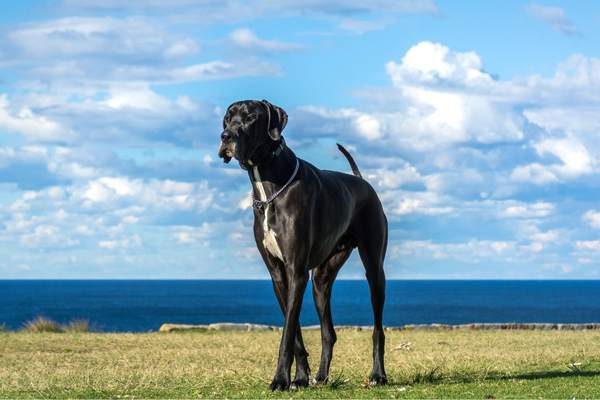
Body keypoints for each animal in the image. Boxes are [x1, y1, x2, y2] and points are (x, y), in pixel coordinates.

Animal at [218, 100, 386, 390]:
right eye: (227, 118)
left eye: (250, 118)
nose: (226, 136)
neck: (269, 186)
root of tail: (362, 181)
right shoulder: (279, 274)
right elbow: (293, 331)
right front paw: (299, 378)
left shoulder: (296, 271)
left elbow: (287, 333)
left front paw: (280, 380)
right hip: (321, 279)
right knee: (328, 332)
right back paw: (321, 376)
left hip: (374, 268)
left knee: (378, 328)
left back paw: (378, 375)